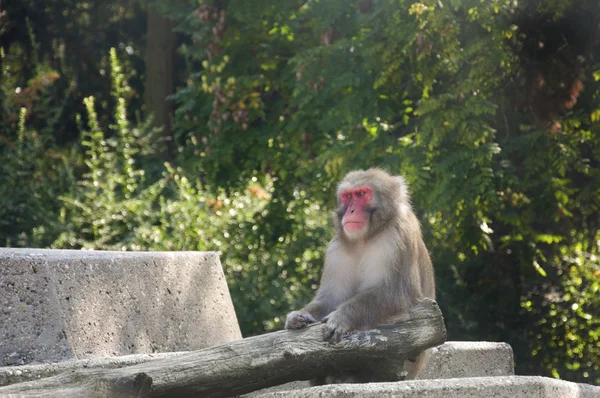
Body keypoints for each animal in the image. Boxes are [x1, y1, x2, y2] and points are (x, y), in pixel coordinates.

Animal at [284, 168, 434, 382]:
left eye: (362, 194)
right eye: (348, 196)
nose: (351, 211)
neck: (366, 237)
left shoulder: (399, 235)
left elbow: (397, 294)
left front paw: (342, 317)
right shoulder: (337, 247)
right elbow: (331, 298)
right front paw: (300, 315)